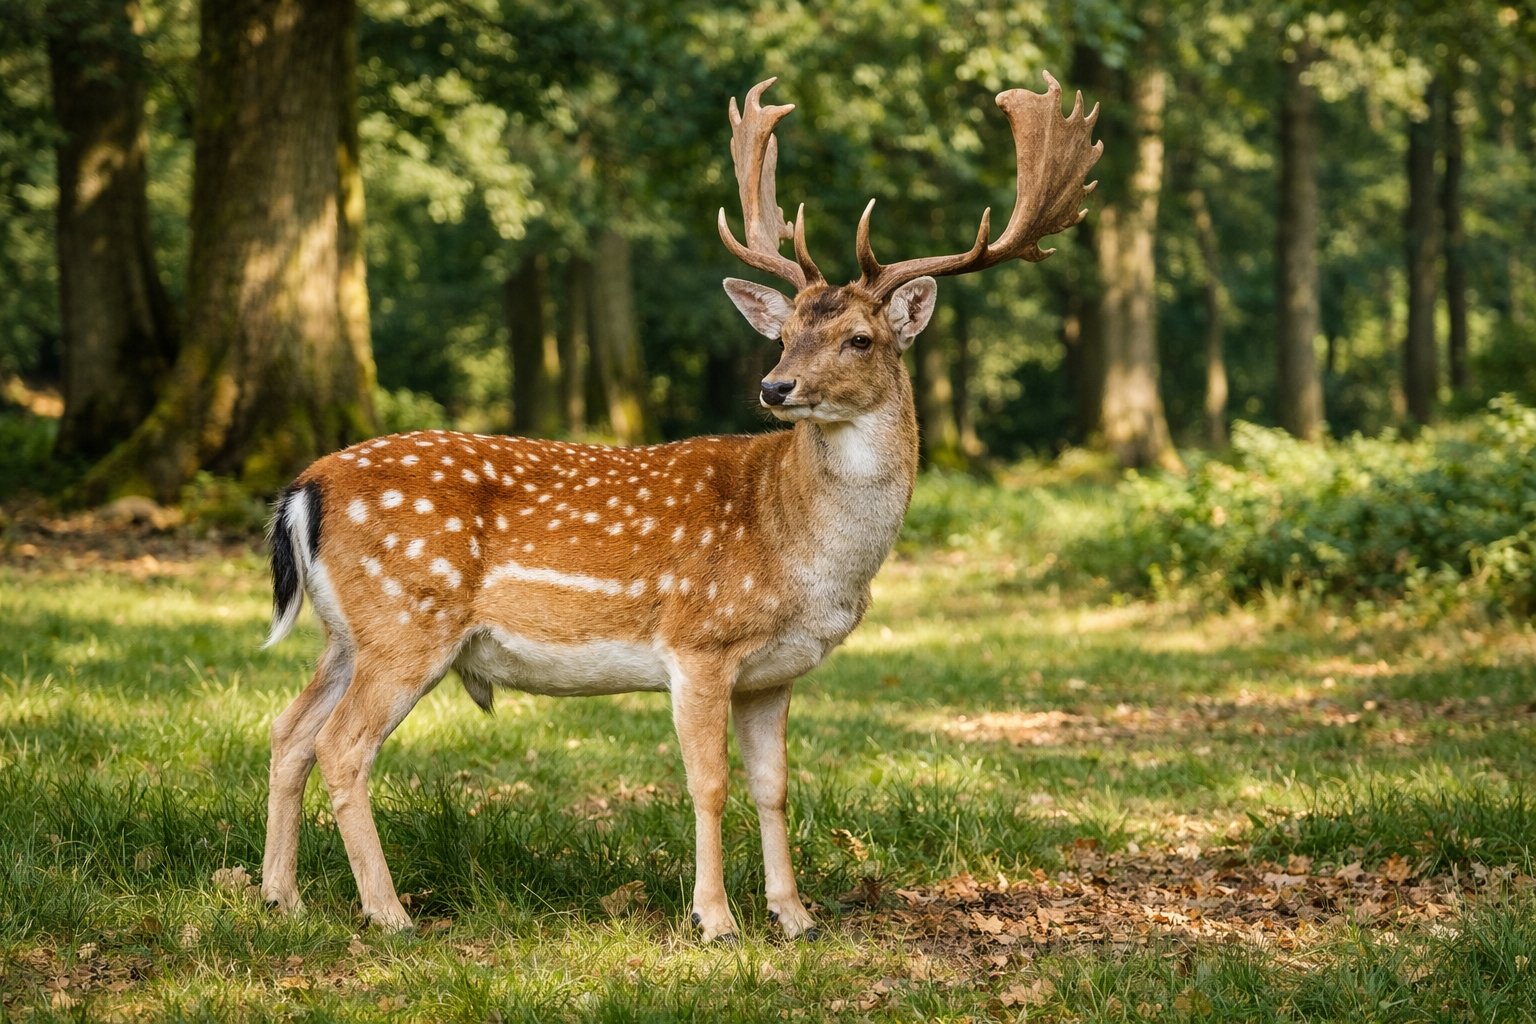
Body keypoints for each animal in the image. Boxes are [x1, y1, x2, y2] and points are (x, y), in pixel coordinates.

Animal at [258, 72, 1100, 943]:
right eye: (786, 333)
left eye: (859, 339)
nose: (774, 386)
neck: (800, 550)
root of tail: (303, 489)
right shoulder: (699, 641)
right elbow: (709, 784)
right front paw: (716, 920)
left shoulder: (773, 673)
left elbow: (774, 786)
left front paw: (794, 915)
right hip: (407, 619)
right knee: (342, 746)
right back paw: (388, 912)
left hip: (346, 633)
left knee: (288, 732)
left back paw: (282, 897)